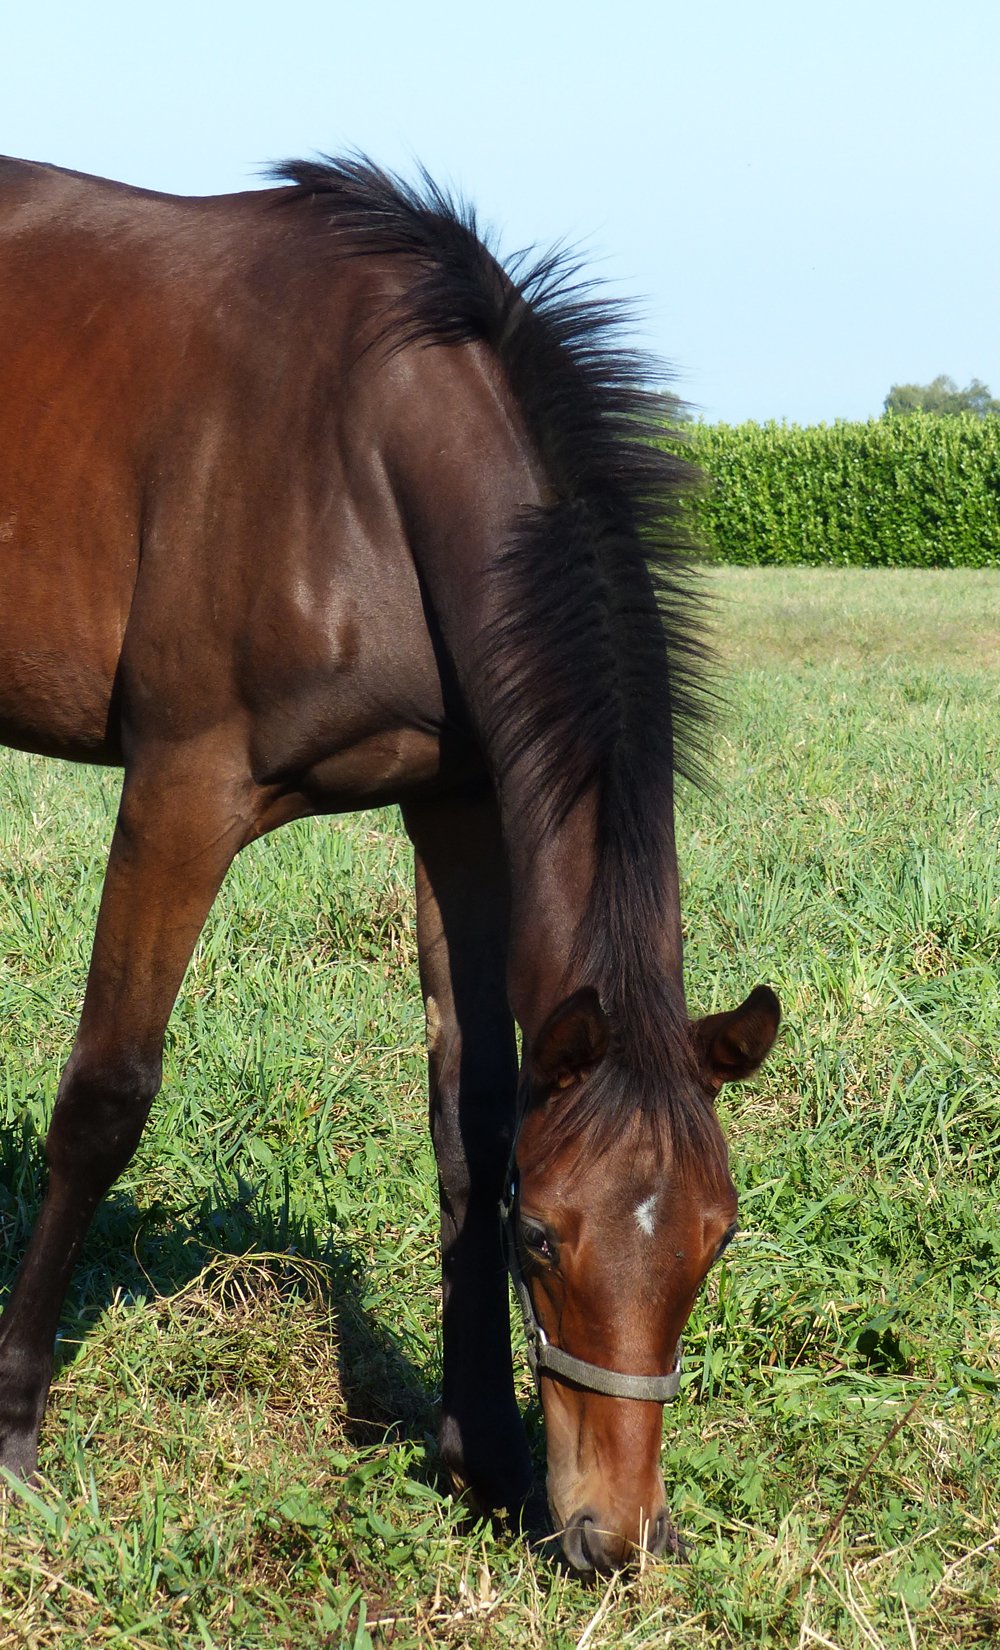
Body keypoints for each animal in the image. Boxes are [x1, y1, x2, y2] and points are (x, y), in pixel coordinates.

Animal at [0, 153, 780, 1575]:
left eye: (716, 1238)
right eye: (545, 1241)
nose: (615, 1536)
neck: (362, 458)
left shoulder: (460, 809)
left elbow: (471, 1114)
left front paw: (483, 1459)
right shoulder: (182, 791)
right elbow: (105, 1096)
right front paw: (14, 1432)